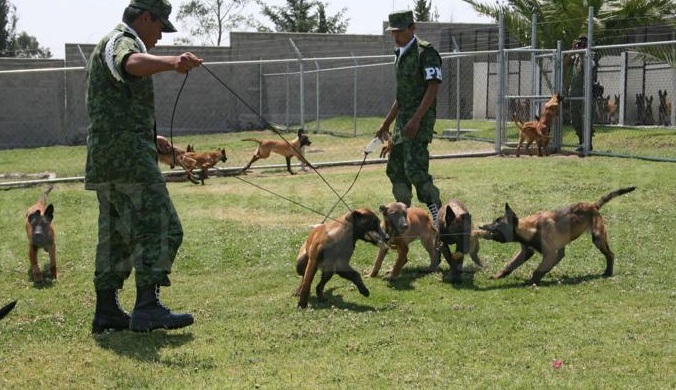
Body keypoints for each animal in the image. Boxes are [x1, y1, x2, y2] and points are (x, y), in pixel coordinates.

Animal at [480, 187, 632, 284]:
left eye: (497, 223)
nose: (482, 226)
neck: (529, 228)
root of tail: (592, 206)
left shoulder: (549, 253)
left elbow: (537, 270)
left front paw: (531, 282)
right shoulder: (526, 252)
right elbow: (510, 265)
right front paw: (497, 276)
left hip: (598, 238)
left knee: (610, 255)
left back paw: (608, 272)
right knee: (560, 256)